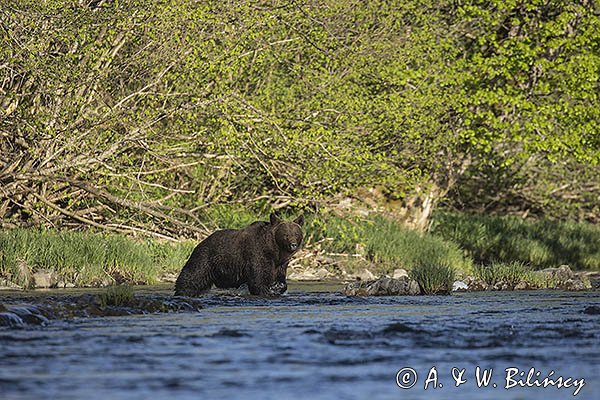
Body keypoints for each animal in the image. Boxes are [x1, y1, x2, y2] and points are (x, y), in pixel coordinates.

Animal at [173, 212, 304, 296]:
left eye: (296, 234)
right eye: (286, 235)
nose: (293, 245)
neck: (274, 250)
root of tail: (201, 241)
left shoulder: (281, 263)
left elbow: (280, 277)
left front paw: (277, 286)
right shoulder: (257, 253)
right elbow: (258, 279)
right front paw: (267, 290)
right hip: (207, 257)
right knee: (193, 275)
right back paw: (182, 291)